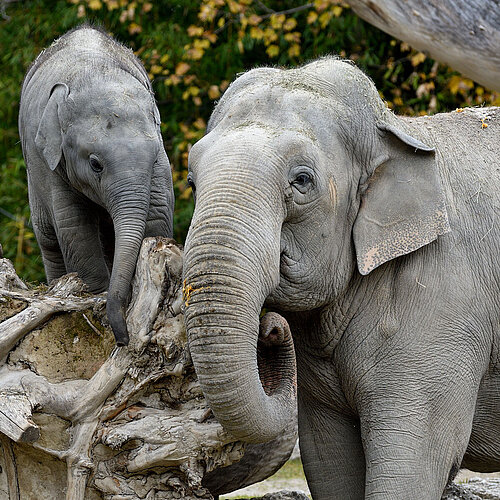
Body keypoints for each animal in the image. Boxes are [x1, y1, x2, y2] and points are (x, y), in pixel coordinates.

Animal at [19, 25, 175, 346]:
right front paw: (96, 295)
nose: (123, 340)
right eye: (95, 164)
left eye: (154, 157)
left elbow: (157, 213)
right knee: (49, 239)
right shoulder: (51, 163)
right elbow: (74, 225)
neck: (97, 76)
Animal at [183, 56, 500, 498]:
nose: (271, 329)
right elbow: (329, 458)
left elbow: (415, 461)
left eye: (302, 180)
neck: (397, 128)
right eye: (192, 181)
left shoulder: (446, 306)